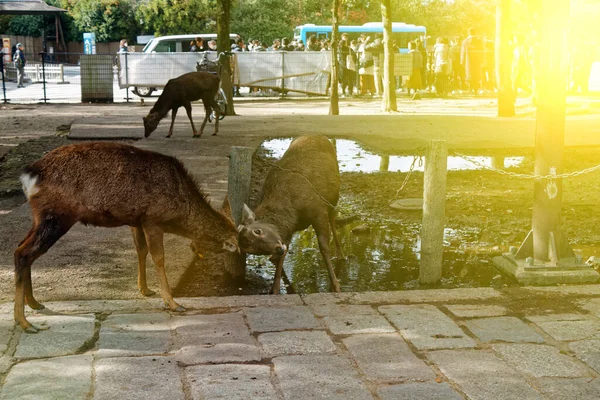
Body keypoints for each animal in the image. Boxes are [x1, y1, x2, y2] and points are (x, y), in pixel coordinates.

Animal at [14, 142, 239, 332]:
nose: (236, 250)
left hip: (41, 218)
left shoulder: (136, 221)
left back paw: (34, 303)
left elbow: (141, 251)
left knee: (21, 247)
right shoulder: (153, 220)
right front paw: (173, 303)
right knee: (23, 253)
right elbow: (159, 258)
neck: (180, 212)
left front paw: (145, 289)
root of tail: (28, 175)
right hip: (56, 215)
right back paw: (25, 322)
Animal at [238, 136, 342, 296]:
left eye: (257, 230)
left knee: (333, 219)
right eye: (253, 250)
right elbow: (284, 251)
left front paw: (336, 285)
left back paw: (341, 254)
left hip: (334, 197)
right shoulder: (287, 232)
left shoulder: (318, 209)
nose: (277, 249)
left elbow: (324, 247)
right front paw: (274, 289)